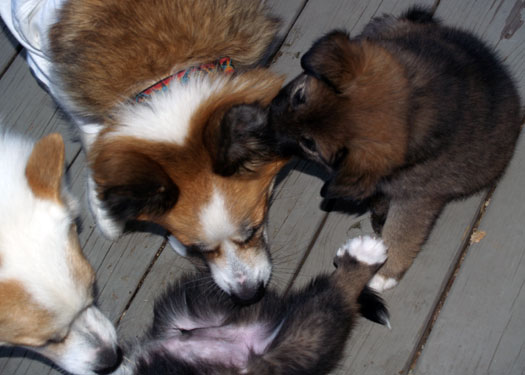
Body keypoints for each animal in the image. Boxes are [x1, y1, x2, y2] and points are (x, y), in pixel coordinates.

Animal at [1, 0, 286, 302]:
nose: (248, 295)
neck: (166, 73)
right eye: (197, 248)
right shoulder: (41, 56)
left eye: (254, 230)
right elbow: (92, 133)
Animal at [217, 7, 520, 292]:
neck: (415, 106)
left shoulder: (418, 198)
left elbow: (402, 233)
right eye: (298, 96)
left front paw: (384, 273)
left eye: (309, 144)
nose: (264, 128)